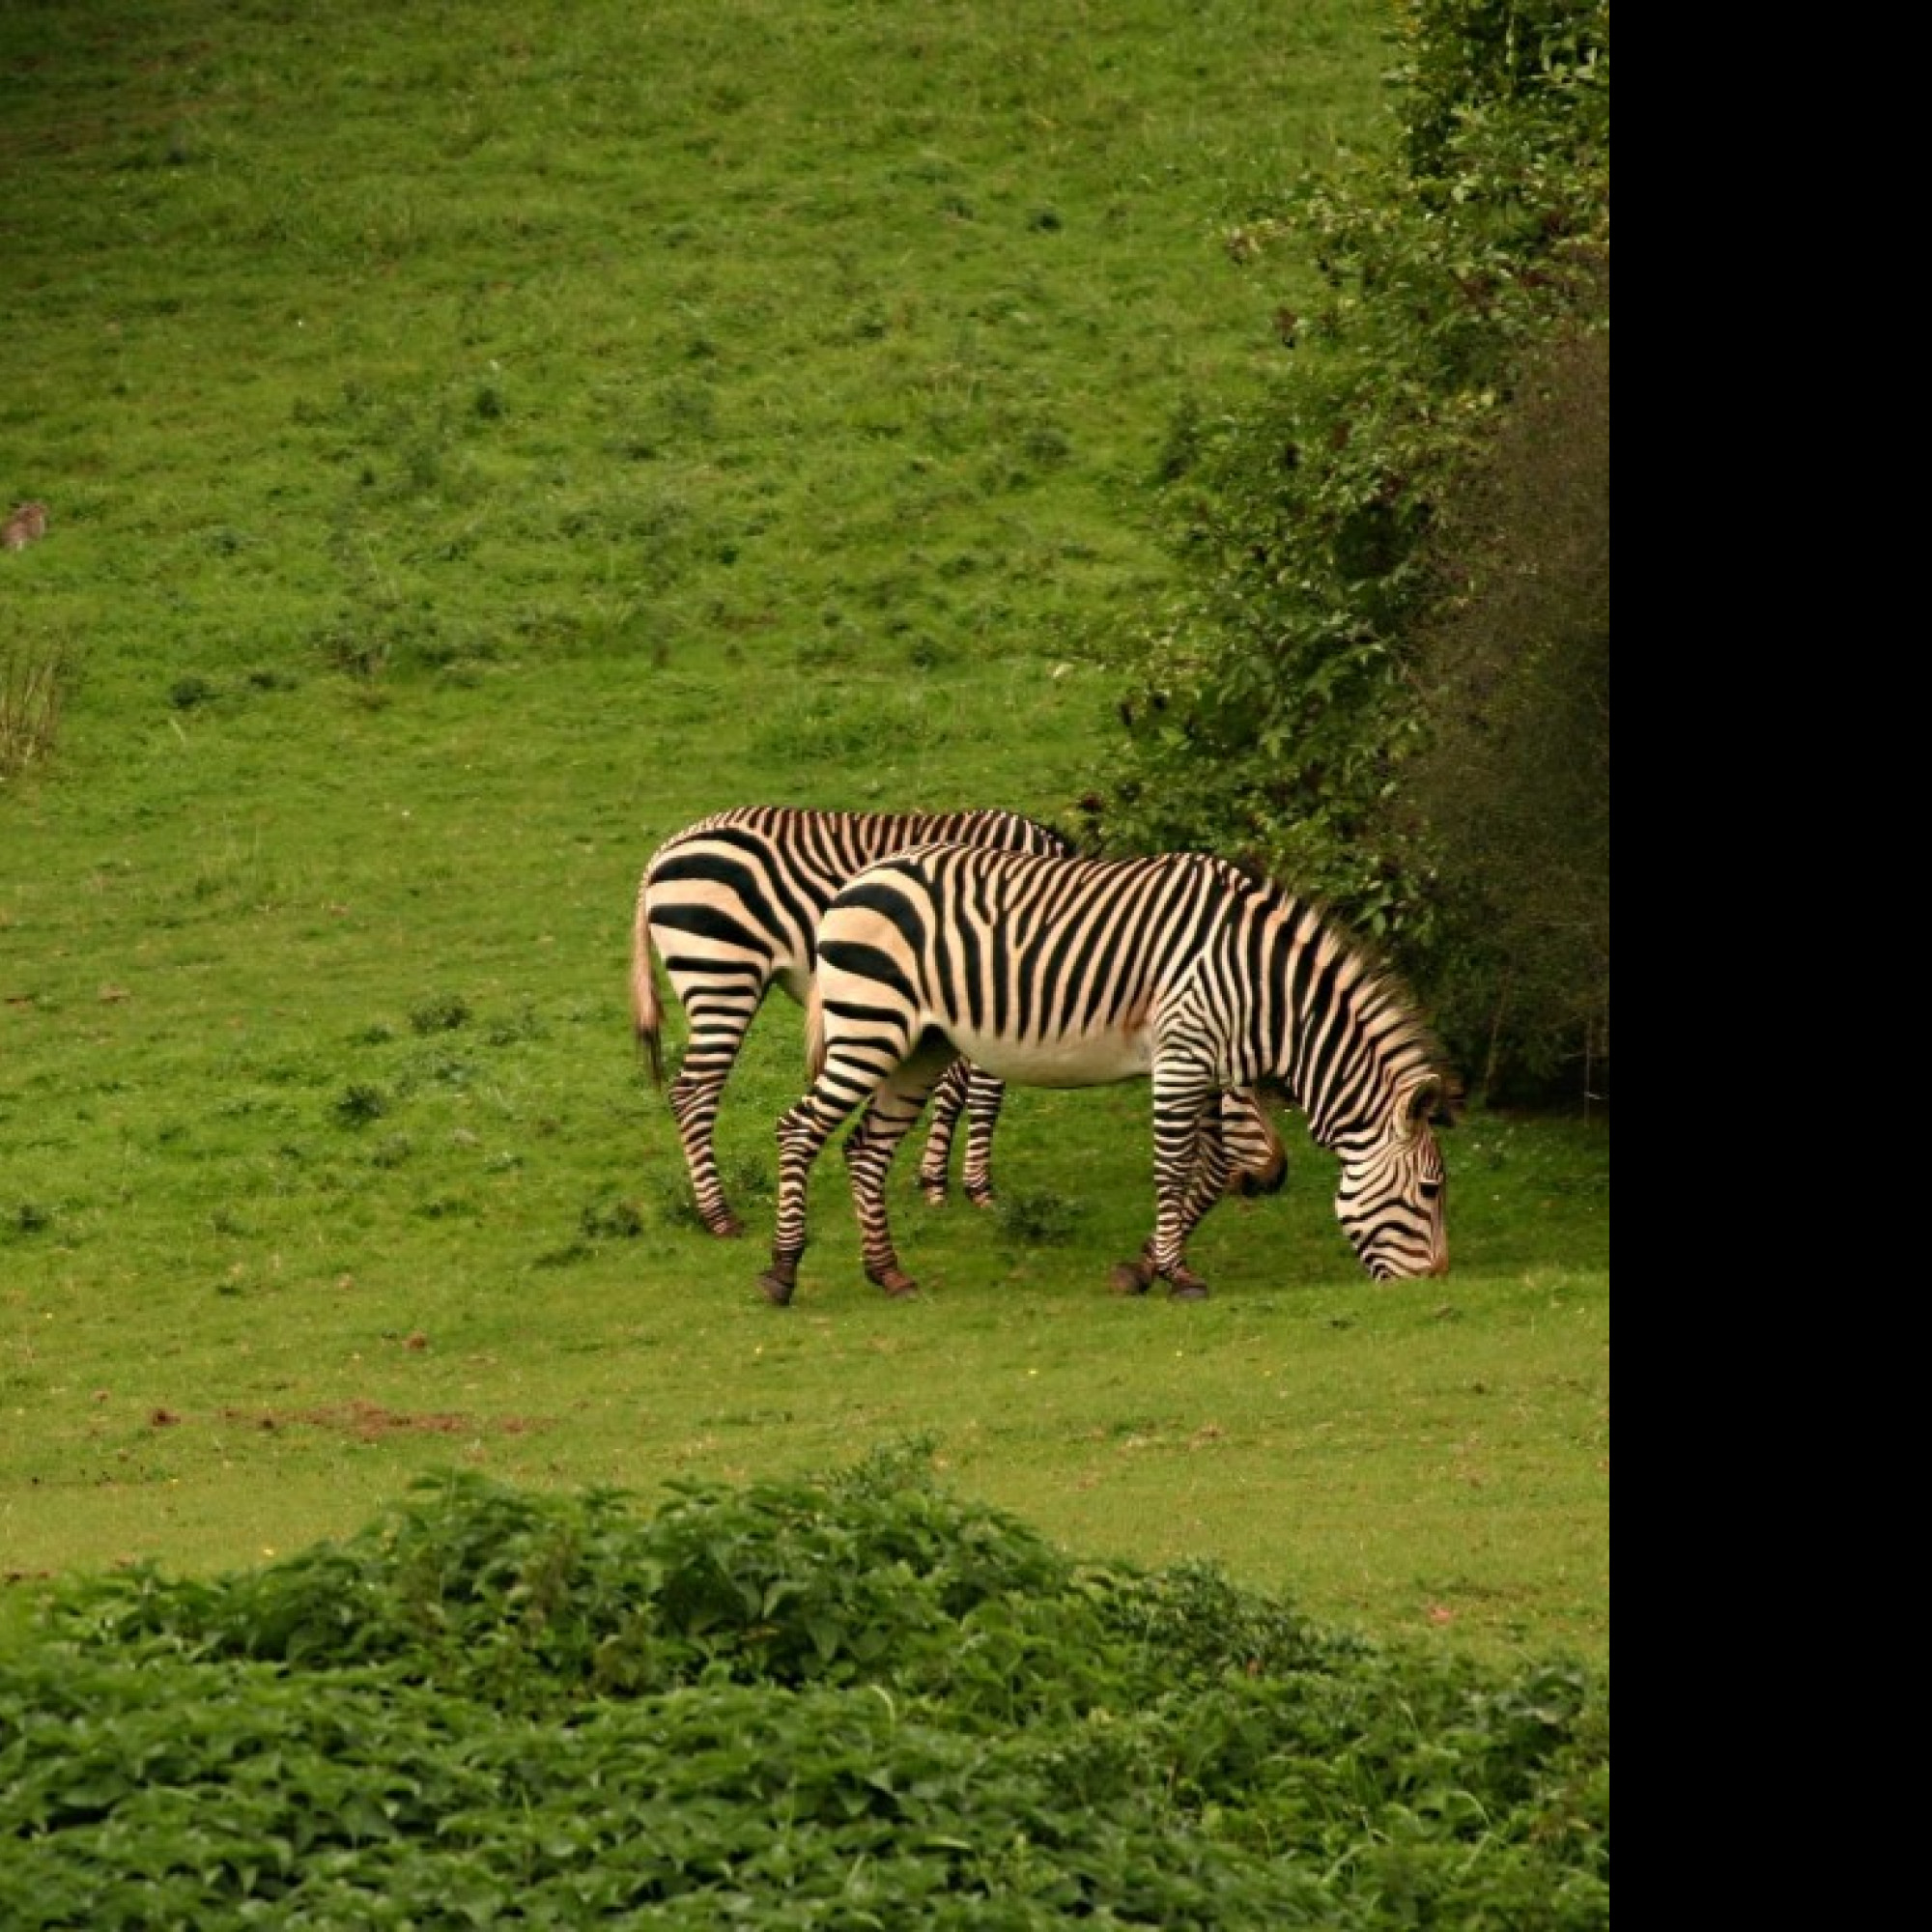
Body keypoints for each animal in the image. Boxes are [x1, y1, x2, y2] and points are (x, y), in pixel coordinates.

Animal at [638, 804, 1298, 1236]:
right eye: (1246, 1090)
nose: (1276, 1178)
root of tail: (664, 850)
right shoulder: (997, 984)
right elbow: (984, 1091)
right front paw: (976, 1187)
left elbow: (954, 1089)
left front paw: (934, 1178)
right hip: (722, 972)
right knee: (694, 1092)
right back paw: (718, 1215)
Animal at [761, 842, 1453, 1306]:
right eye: (1430, 1191)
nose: (1435, 1283)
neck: (1266, 984)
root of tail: (861, 878)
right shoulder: (1182, 1052)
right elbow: (1175, 1168)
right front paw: (1179, 1275)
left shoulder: (1205, 1064)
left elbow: (1212, 1172)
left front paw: (1144, 1267)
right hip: (871, 1026)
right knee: (798, 1130)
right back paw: (782, 1272)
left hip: (918, 1046)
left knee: (865, 1148)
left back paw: (888, 1273)